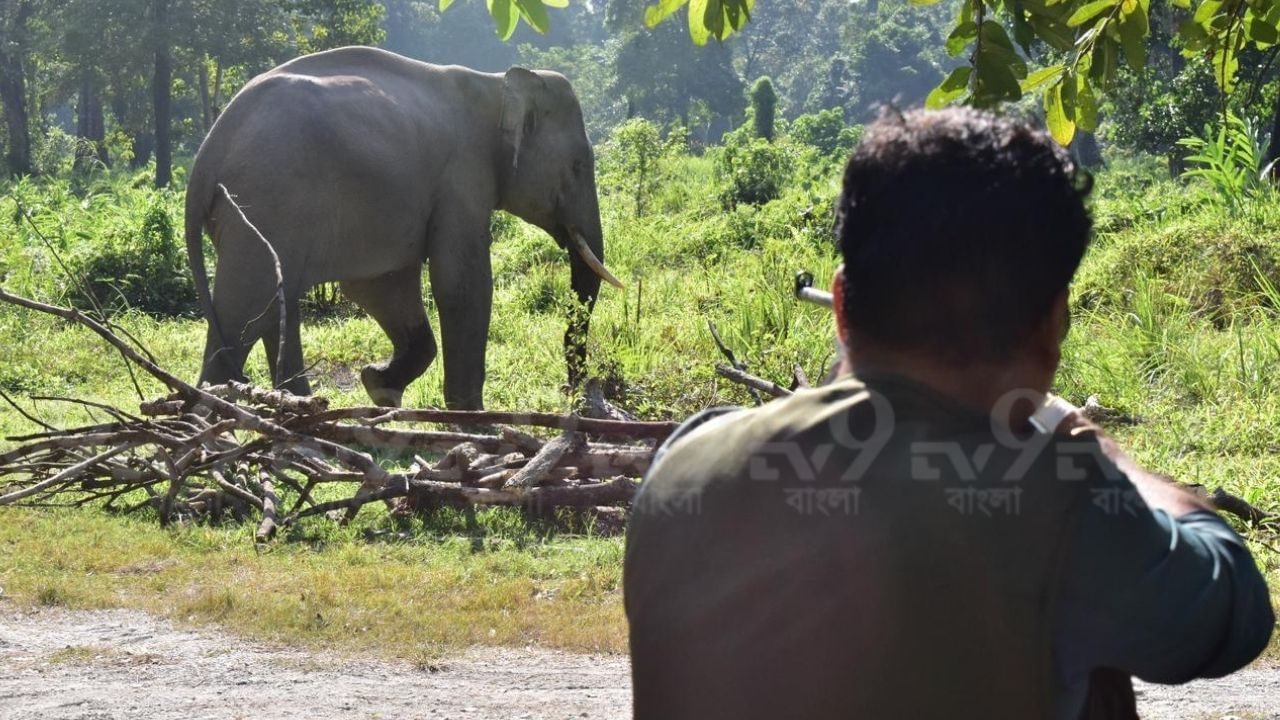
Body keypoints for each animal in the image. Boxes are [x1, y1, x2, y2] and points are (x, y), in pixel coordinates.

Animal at [184, 46, 619, 409]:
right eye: (578, 165)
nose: (572, 389)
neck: (497, 83)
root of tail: (206, 155)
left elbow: (379, 284)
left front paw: (379, 387)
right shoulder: (461, 178)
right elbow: (461, 283)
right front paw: (473, 418)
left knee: (278, 301)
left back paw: (298, 406)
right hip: (261, 203)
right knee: (243, 310)